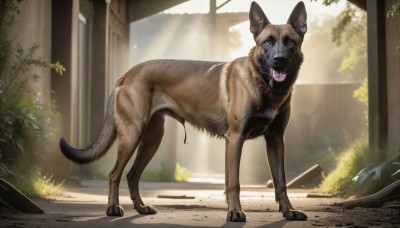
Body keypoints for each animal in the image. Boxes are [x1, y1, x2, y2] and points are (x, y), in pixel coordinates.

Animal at [60, 1, 310, 223]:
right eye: (267, 41)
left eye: (290, 42)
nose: (279, 60)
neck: (264, 84)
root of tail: (127, 74)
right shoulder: (235, 138)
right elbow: (234, 183)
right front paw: (235, 213)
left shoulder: (275, 140)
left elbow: (280, 181)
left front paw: (289, 211)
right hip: (132, 134)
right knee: (115, 174)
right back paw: (113, 207)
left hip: (152, 139)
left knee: (132, 175)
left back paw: (141, 207)